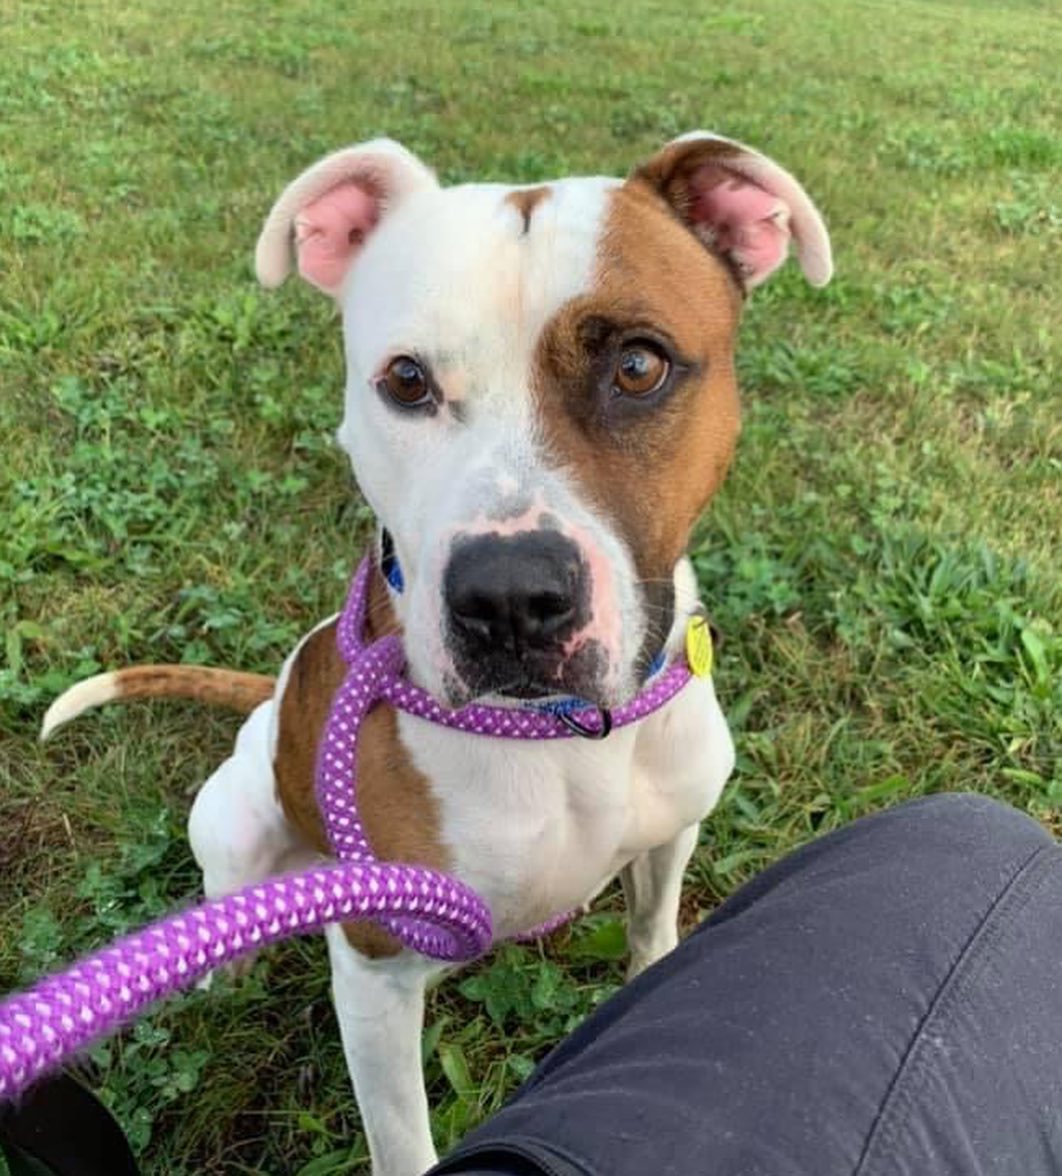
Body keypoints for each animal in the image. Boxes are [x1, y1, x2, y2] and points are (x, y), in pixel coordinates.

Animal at [43, 133, 832, 1176]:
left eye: (637, 365)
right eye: (407, 381)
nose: (510, 600)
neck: (562, 735)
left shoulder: (670, 837)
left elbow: (651, 932)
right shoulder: (375, 973)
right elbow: (404, 1141)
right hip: (237, 826)